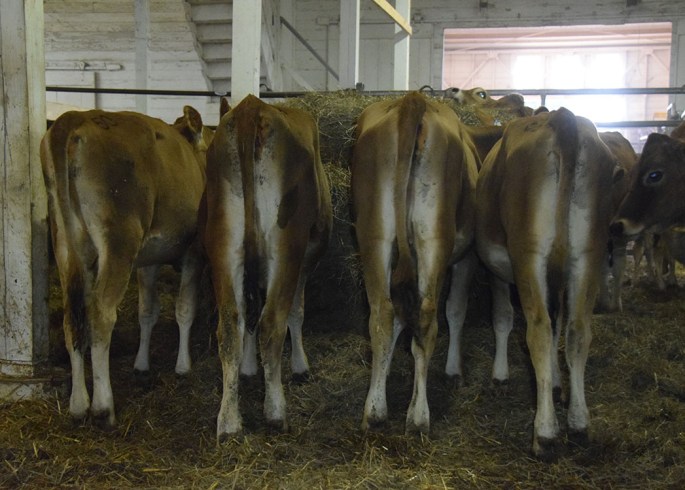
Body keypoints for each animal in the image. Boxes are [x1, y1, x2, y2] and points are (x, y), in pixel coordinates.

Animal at [40, 106, 210, 426]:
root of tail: (76, 117)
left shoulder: (148, 259)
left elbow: (147, 311)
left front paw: (141, 365)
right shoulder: (193, 251)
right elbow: (184, 309)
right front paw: (183, 366)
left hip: (65, 242)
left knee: (73, 318)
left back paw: (78, 405)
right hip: (119, 239)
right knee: (101, 315)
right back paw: (103, 408)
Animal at [202, 94, 332, 440]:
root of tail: (251, 107)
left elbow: (249, 312)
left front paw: (248, 368)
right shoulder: (307, 257)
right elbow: (296, 312)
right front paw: (300, 366)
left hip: (223, 245)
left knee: (230, 326)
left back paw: (228, 421)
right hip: (286, 246)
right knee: (273, 322)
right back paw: (275, 412)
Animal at [351, 91, 479, 434]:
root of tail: (412, 99)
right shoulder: (467, 258)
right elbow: (457, 309)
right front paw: (454, 372)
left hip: (375, 235)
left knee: (382, 313)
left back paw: (374, 411)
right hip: (432, 236)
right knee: (427, 315)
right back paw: (419, 416)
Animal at [475, 108, 616, 461]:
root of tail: (561, 117)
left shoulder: (497, 268)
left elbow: (503, 317)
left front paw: (500, 375)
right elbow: (558, 325)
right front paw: (554, 384)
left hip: (529, 254)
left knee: (537, 330)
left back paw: (545, 433)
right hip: (588, 253)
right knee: (577, 331)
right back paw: (578, 424)